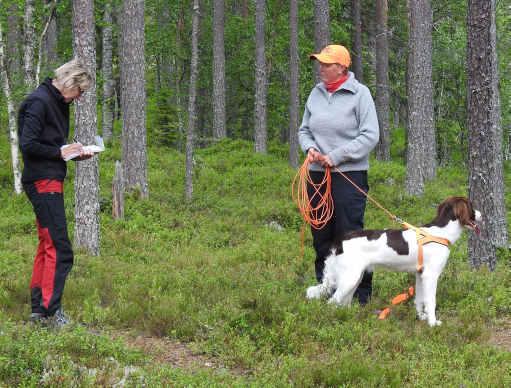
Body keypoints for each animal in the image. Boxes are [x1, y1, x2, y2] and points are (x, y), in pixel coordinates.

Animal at [308, 196, 480, 326]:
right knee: (332, 302)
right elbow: (431, 301)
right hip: (350, 278)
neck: (441, 232)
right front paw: (432, 323)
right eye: (471, 206)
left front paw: (421, 318)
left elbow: (420, 299)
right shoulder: (430, 276)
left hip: (354, 278)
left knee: (343, 302)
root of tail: (340, 242)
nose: (481, 214)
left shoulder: (420, 275)